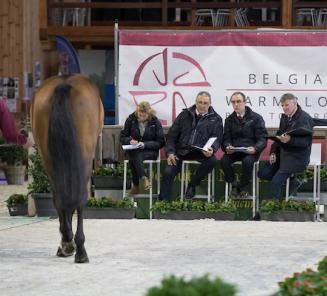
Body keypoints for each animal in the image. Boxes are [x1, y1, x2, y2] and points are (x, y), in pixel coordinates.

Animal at [30, 74, 104, 264]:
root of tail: (63, 85)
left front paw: (67, 243)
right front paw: (68, 245)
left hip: (49, 159)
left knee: (61, 197)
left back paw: (72, 244)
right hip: (84, 157)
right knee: (78, 198)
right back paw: (78, 249)